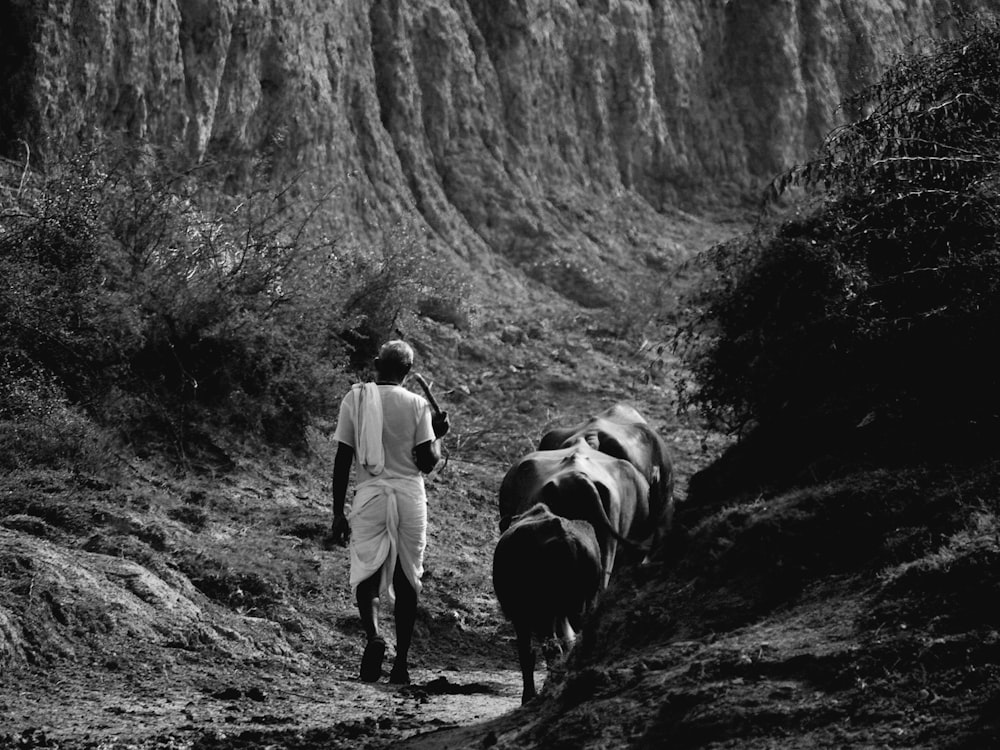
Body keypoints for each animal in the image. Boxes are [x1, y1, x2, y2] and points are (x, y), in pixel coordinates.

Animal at [492, 506, 600, 704]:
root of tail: (565, 538)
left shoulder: (521, 617)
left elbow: (527, 654)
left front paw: (528, 696)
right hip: (584, 604)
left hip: (544, 613)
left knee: (552, 649)